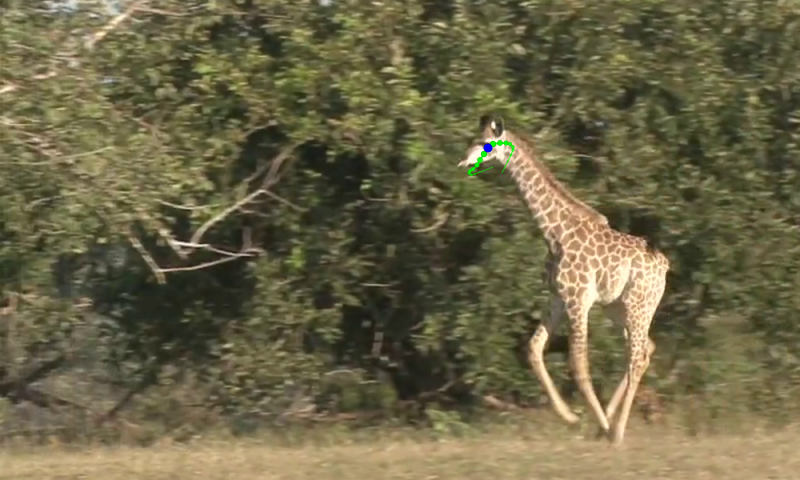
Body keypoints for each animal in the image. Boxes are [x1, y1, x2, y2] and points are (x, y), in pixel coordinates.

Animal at [458, 115, 670, 446]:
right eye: (474, 139)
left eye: (485, 144)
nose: (464, 161)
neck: (554, 231)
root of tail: (664, 267)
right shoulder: (558, 297)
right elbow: (534, 349)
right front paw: (571, 418)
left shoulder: (578, 299)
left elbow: (578, 365)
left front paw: (595, 423)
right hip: (618, 308)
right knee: (646, 348)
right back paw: (607, 422)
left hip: (638, 306)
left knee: (636, 358)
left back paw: (615, 431)